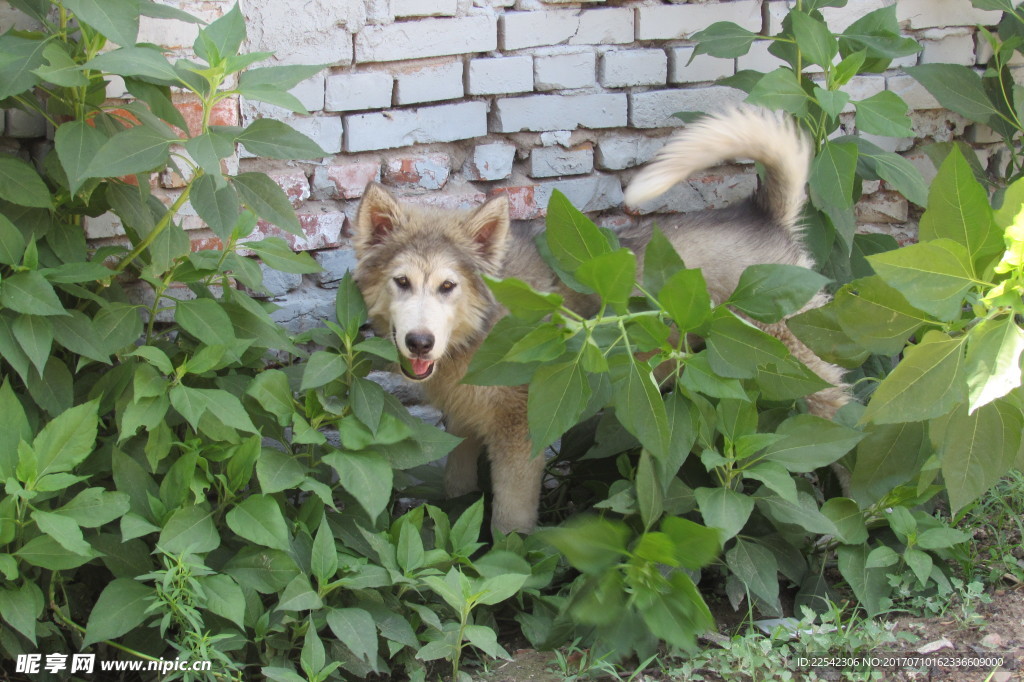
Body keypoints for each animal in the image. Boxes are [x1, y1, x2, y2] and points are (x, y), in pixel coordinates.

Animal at [356, 107, 851, 532]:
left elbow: (509, 522)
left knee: (835, 416)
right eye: (402, 282)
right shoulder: (463, 424)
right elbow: (459, 491)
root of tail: (762, 217)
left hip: (795, 363)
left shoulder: (521, 434)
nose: (420, 342)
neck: (480, 328)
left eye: (448, 286)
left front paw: (512, 570)